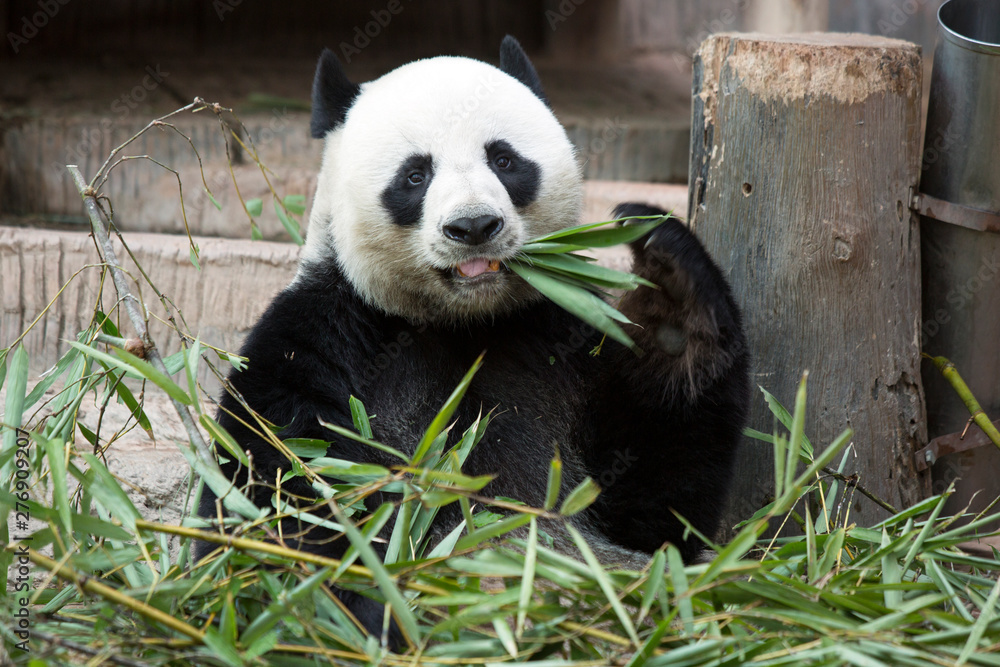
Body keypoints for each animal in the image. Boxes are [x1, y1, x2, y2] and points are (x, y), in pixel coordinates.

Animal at [198, 36, 750, 643]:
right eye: (415, 175)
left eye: (504, 160)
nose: (473, 227)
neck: (463, 321)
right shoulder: (328, 337)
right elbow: (275, 493)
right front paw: (370, 613)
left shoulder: (562, 338)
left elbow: (658, 504)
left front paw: (666, 279)